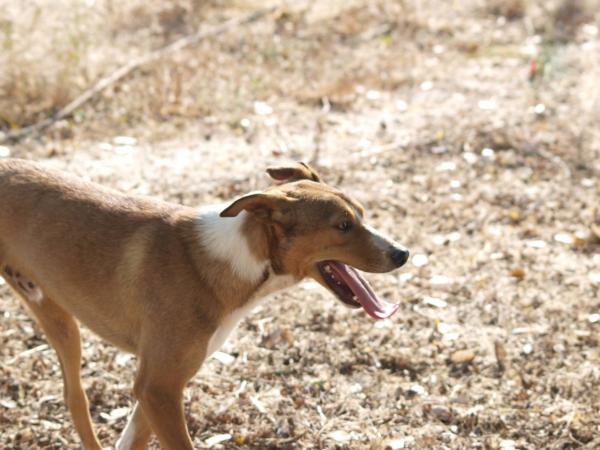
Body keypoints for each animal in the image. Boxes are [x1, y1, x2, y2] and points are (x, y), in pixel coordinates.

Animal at [0, 159, 408, 450]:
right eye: (342, 226)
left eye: (362, 215)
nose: (402, 253)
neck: (236, 260)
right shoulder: (158, 388)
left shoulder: (158, 386)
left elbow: (132, 439)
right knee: (76, 398)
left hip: (55, 317)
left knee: (73, 396)